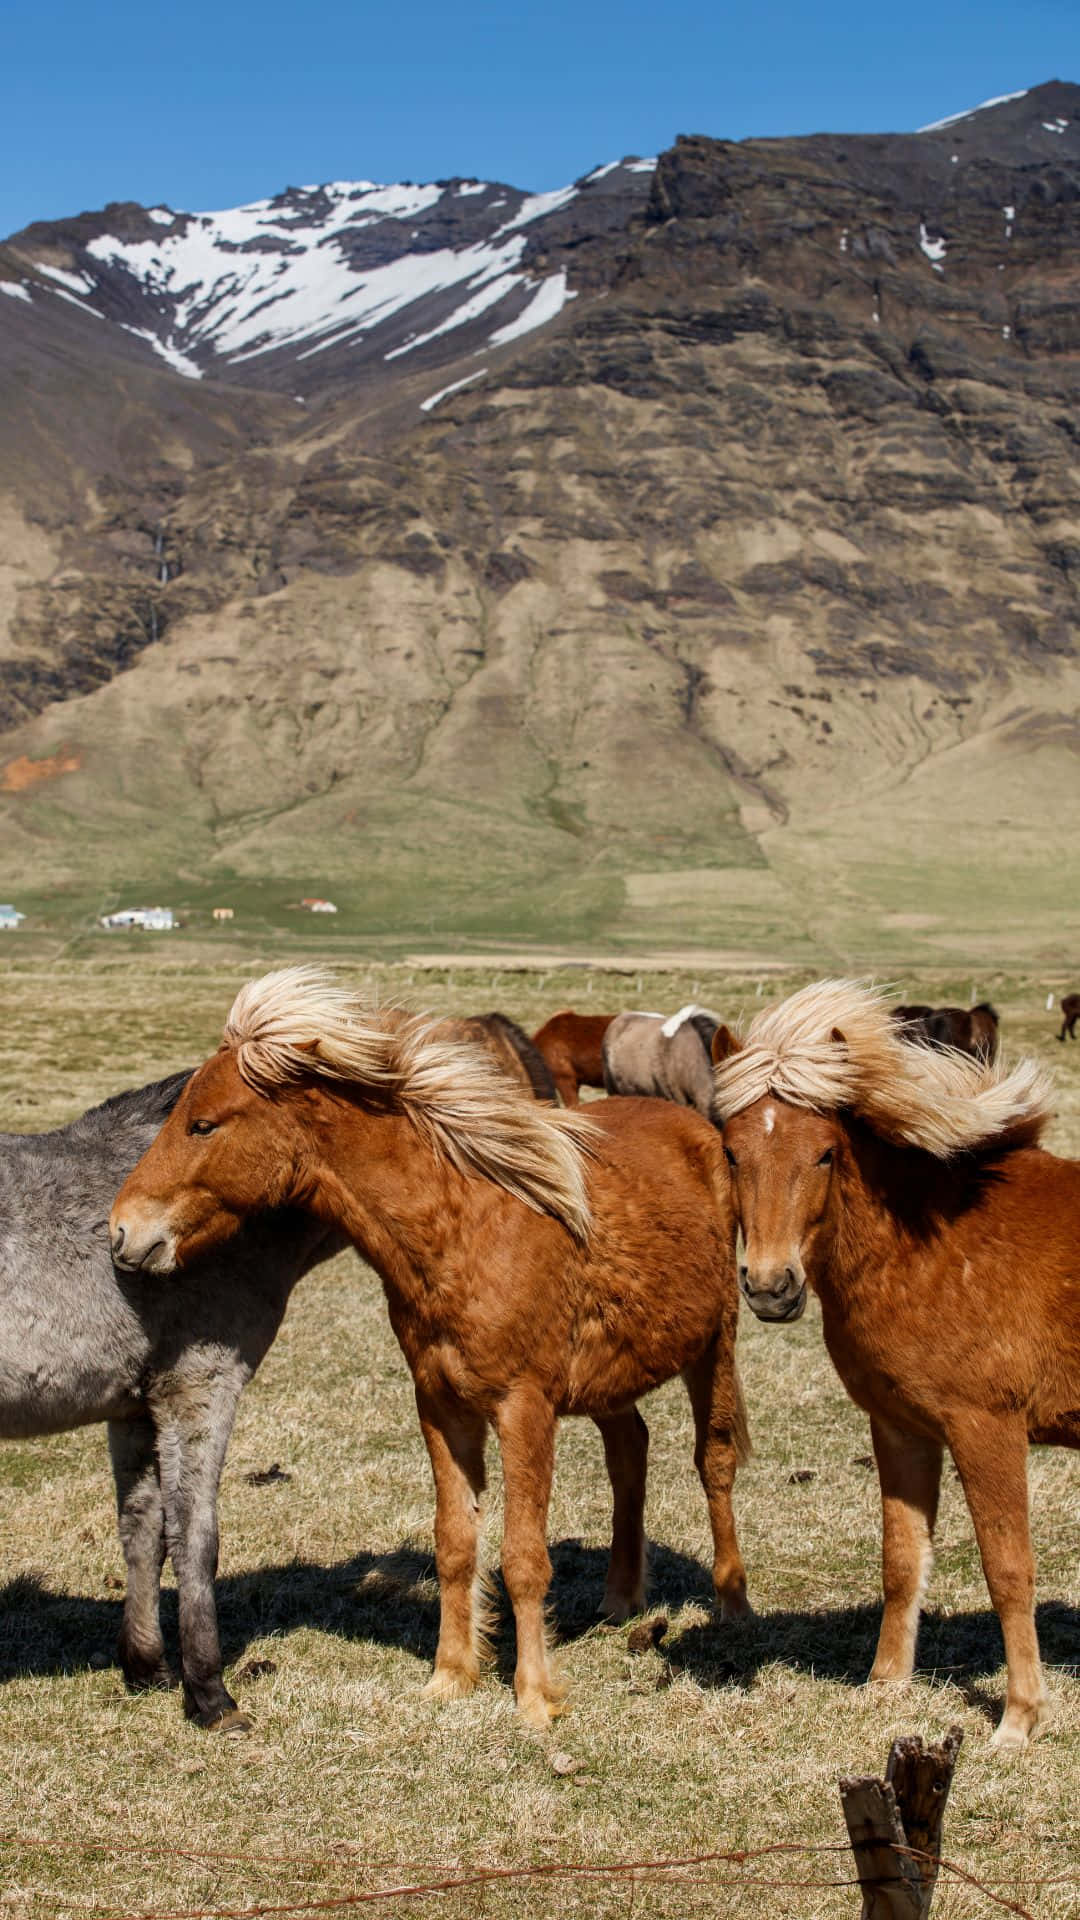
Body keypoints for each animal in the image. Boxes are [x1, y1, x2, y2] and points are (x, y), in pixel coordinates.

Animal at [0, 1073, 341, 1730]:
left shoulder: (135, 1408)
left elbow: (142, 1530)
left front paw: (146, 1667)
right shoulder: (200, 1389)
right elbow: (195, 1535)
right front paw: (209, 1694)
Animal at [110, 968, 751, 1729]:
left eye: (203, 1124)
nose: (122, 1231)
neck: (467, 1226)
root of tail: (699, 1129)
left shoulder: (525, 1410)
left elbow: (523, 1556)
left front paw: (535, 1697)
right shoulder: (442, 1409)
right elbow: (455, 1544)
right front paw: (451, 1676)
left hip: (714, 1347)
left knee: (714, 1462)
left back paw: (733, 1604)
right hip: (610, 1378)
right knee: (630, 1452)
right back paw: (621, 1599)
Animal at [710, 978, 1067, 1753]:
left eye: (825, 1154)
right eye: (730, 1153)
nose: (770, 1286)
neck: (931, 1242)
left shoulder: (988, 1432)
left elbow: (1008, 1567)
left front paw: (1018, 1718)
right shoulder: (903, 1428)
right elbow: (902, 1560)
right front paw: (885, 1685)